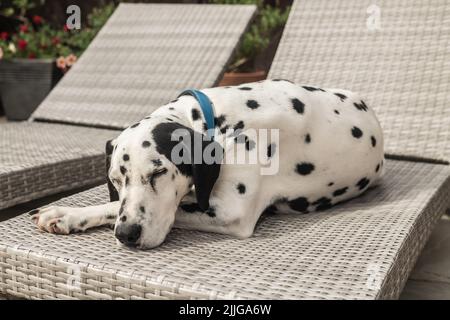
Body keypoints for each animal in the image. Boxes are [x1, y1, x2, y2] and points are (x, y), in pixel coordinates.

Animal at [30, 79, 384, 249]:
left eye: (159, 171)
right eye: (116, 179)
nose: (127, 234)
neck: (214, 117)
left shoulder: (228, 211)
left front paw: (67, 213)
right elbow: (114, 204)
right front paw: (69, 213)